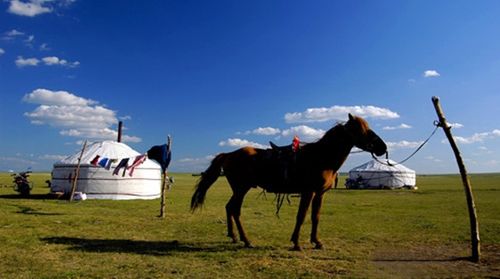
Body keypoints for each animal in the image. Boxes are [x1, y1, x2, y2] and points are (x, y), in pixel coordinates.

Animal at [190, 114, 386, 252]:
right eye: (360, 129)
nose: (382, 147)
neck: (321, 157)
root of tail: (229, 154)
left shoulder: (320, 193)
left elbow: (315, 217)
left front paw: (316, 242)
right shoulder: (308, 192)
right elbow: (301, 216)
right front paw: (297, 243)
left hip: (238, 189)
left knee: (229, 208)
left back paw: (234, 236)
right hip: (241, 189)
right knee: (235, 210)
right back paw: (246, 240)